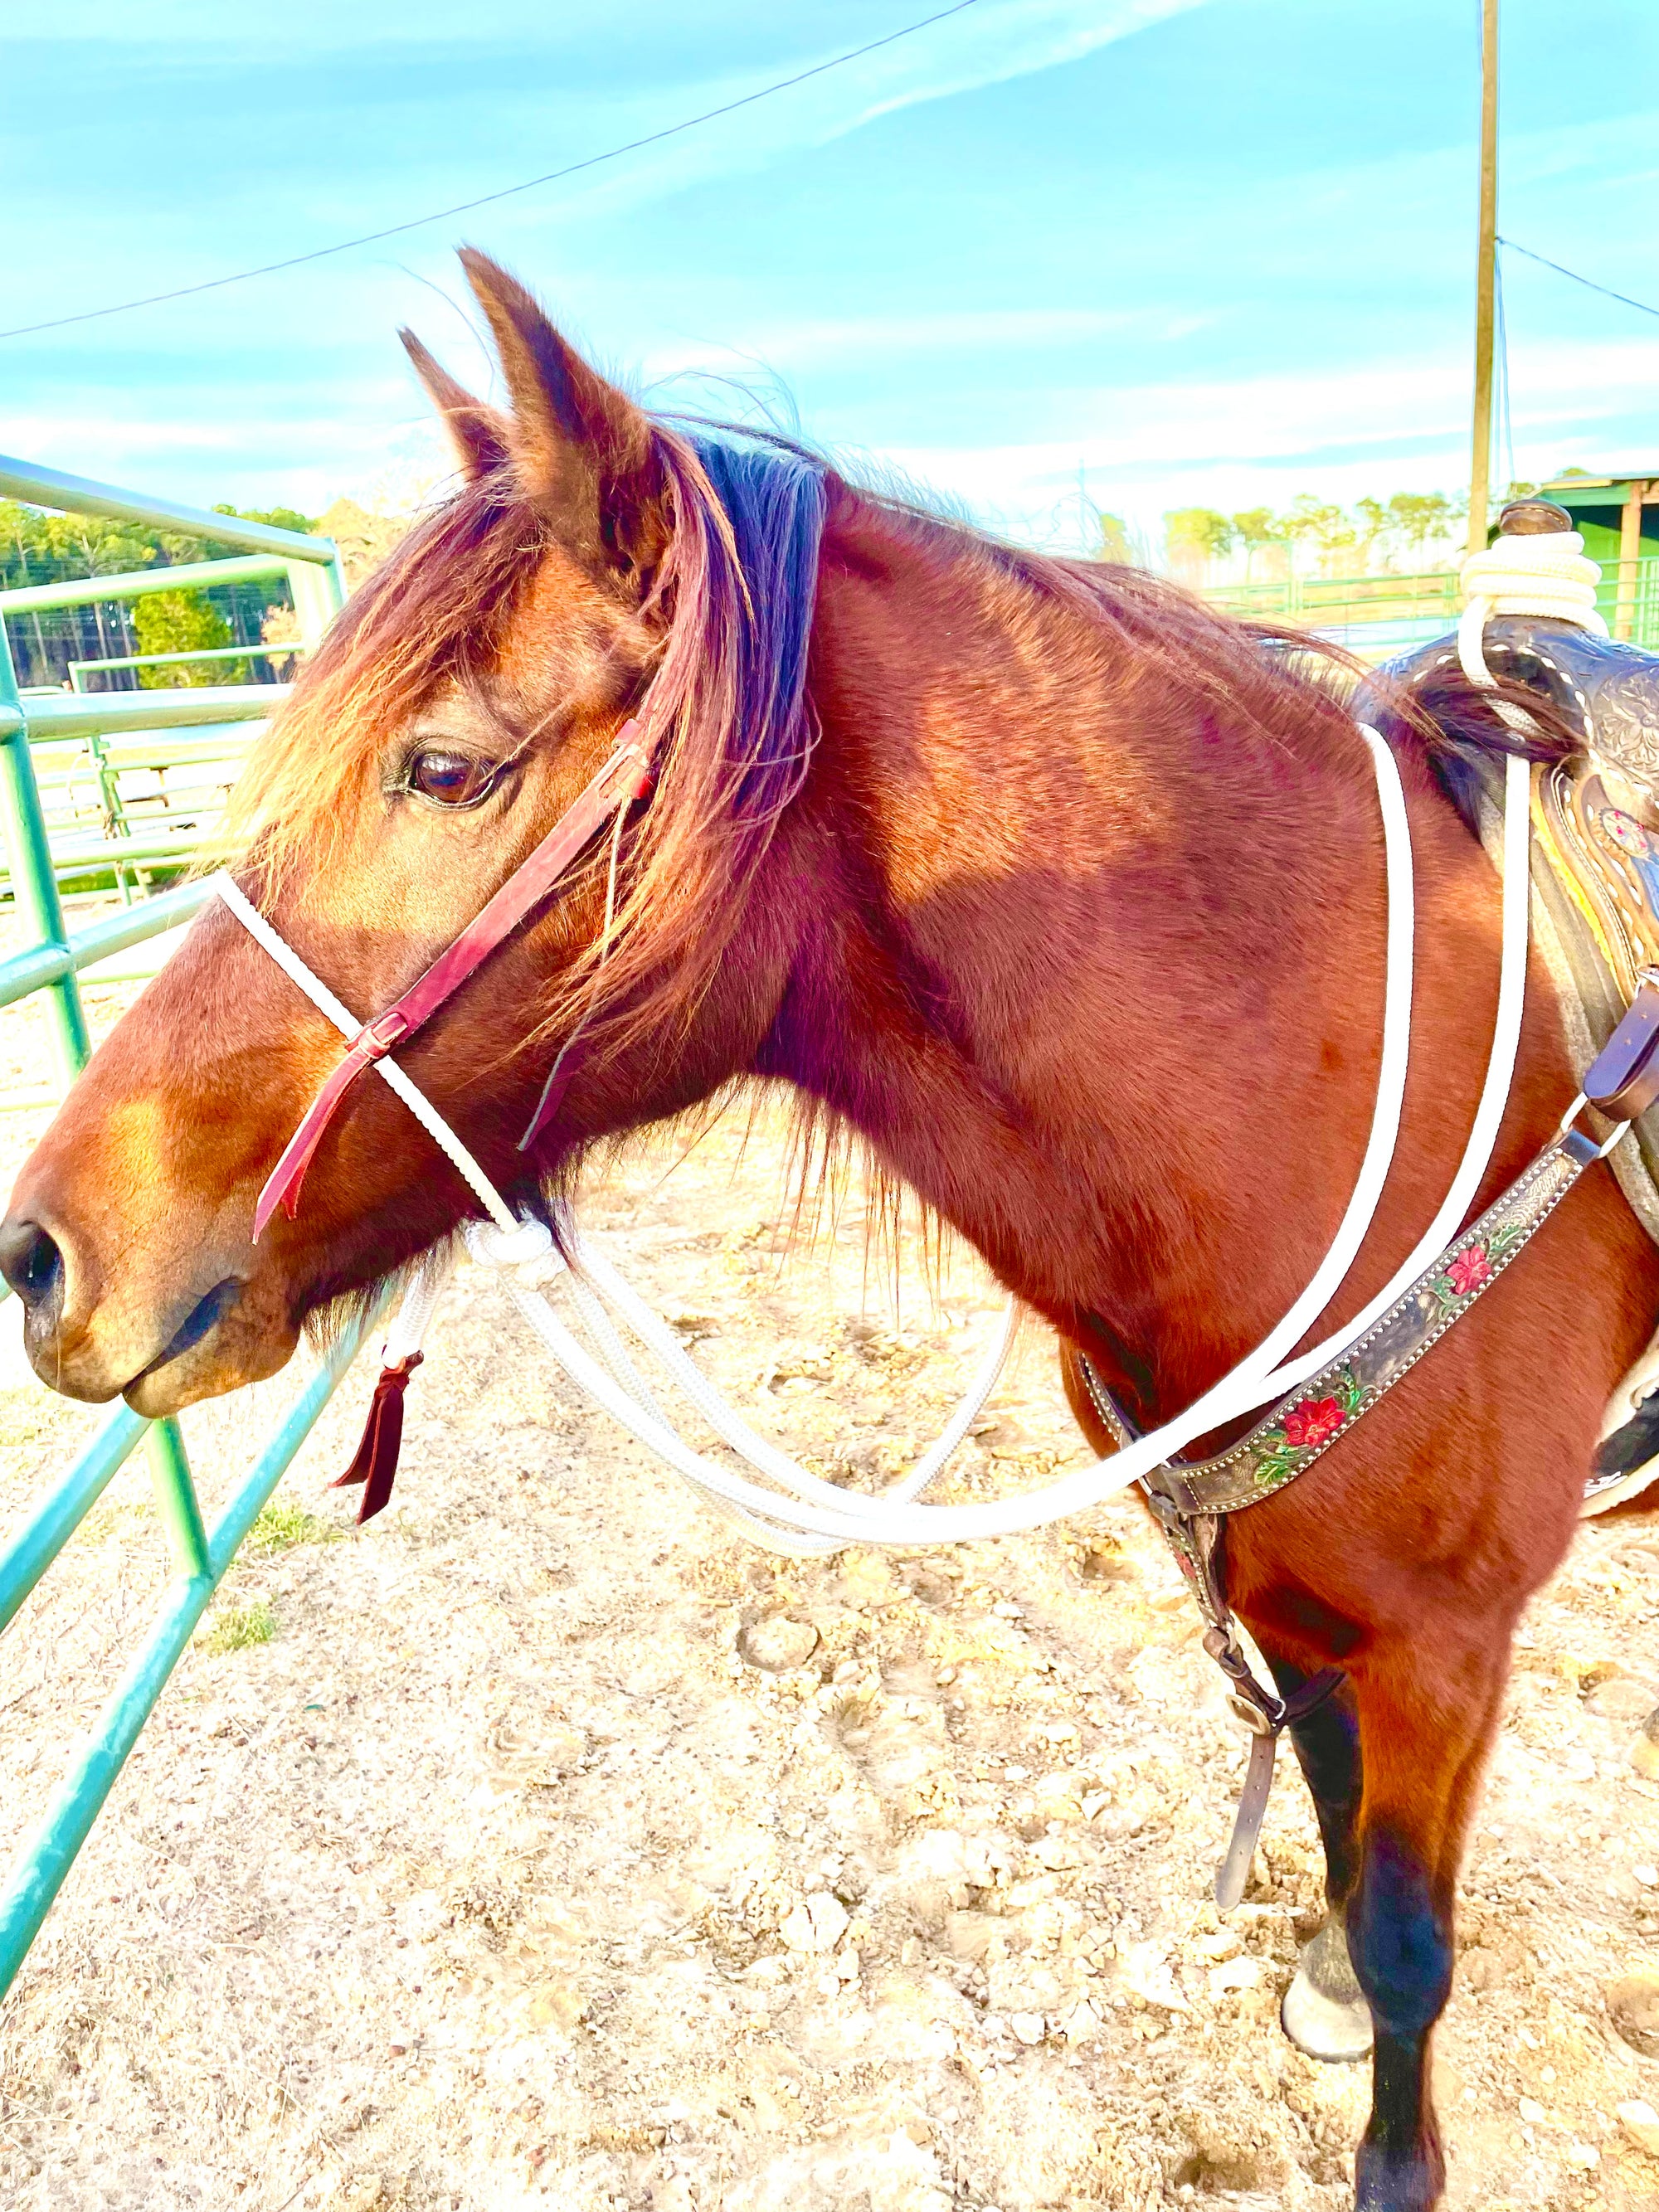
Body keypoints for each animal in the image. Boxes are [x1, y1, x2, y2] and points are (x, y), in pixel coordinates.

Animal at [6, 250, 1654, 2203]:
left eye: (445, 768)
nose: (44, 1251)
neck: (1329, 1081)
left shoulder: (1443, 1645)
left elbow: (1411, 1950)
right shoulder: (1306, 1611)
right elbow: (1341, 1854)